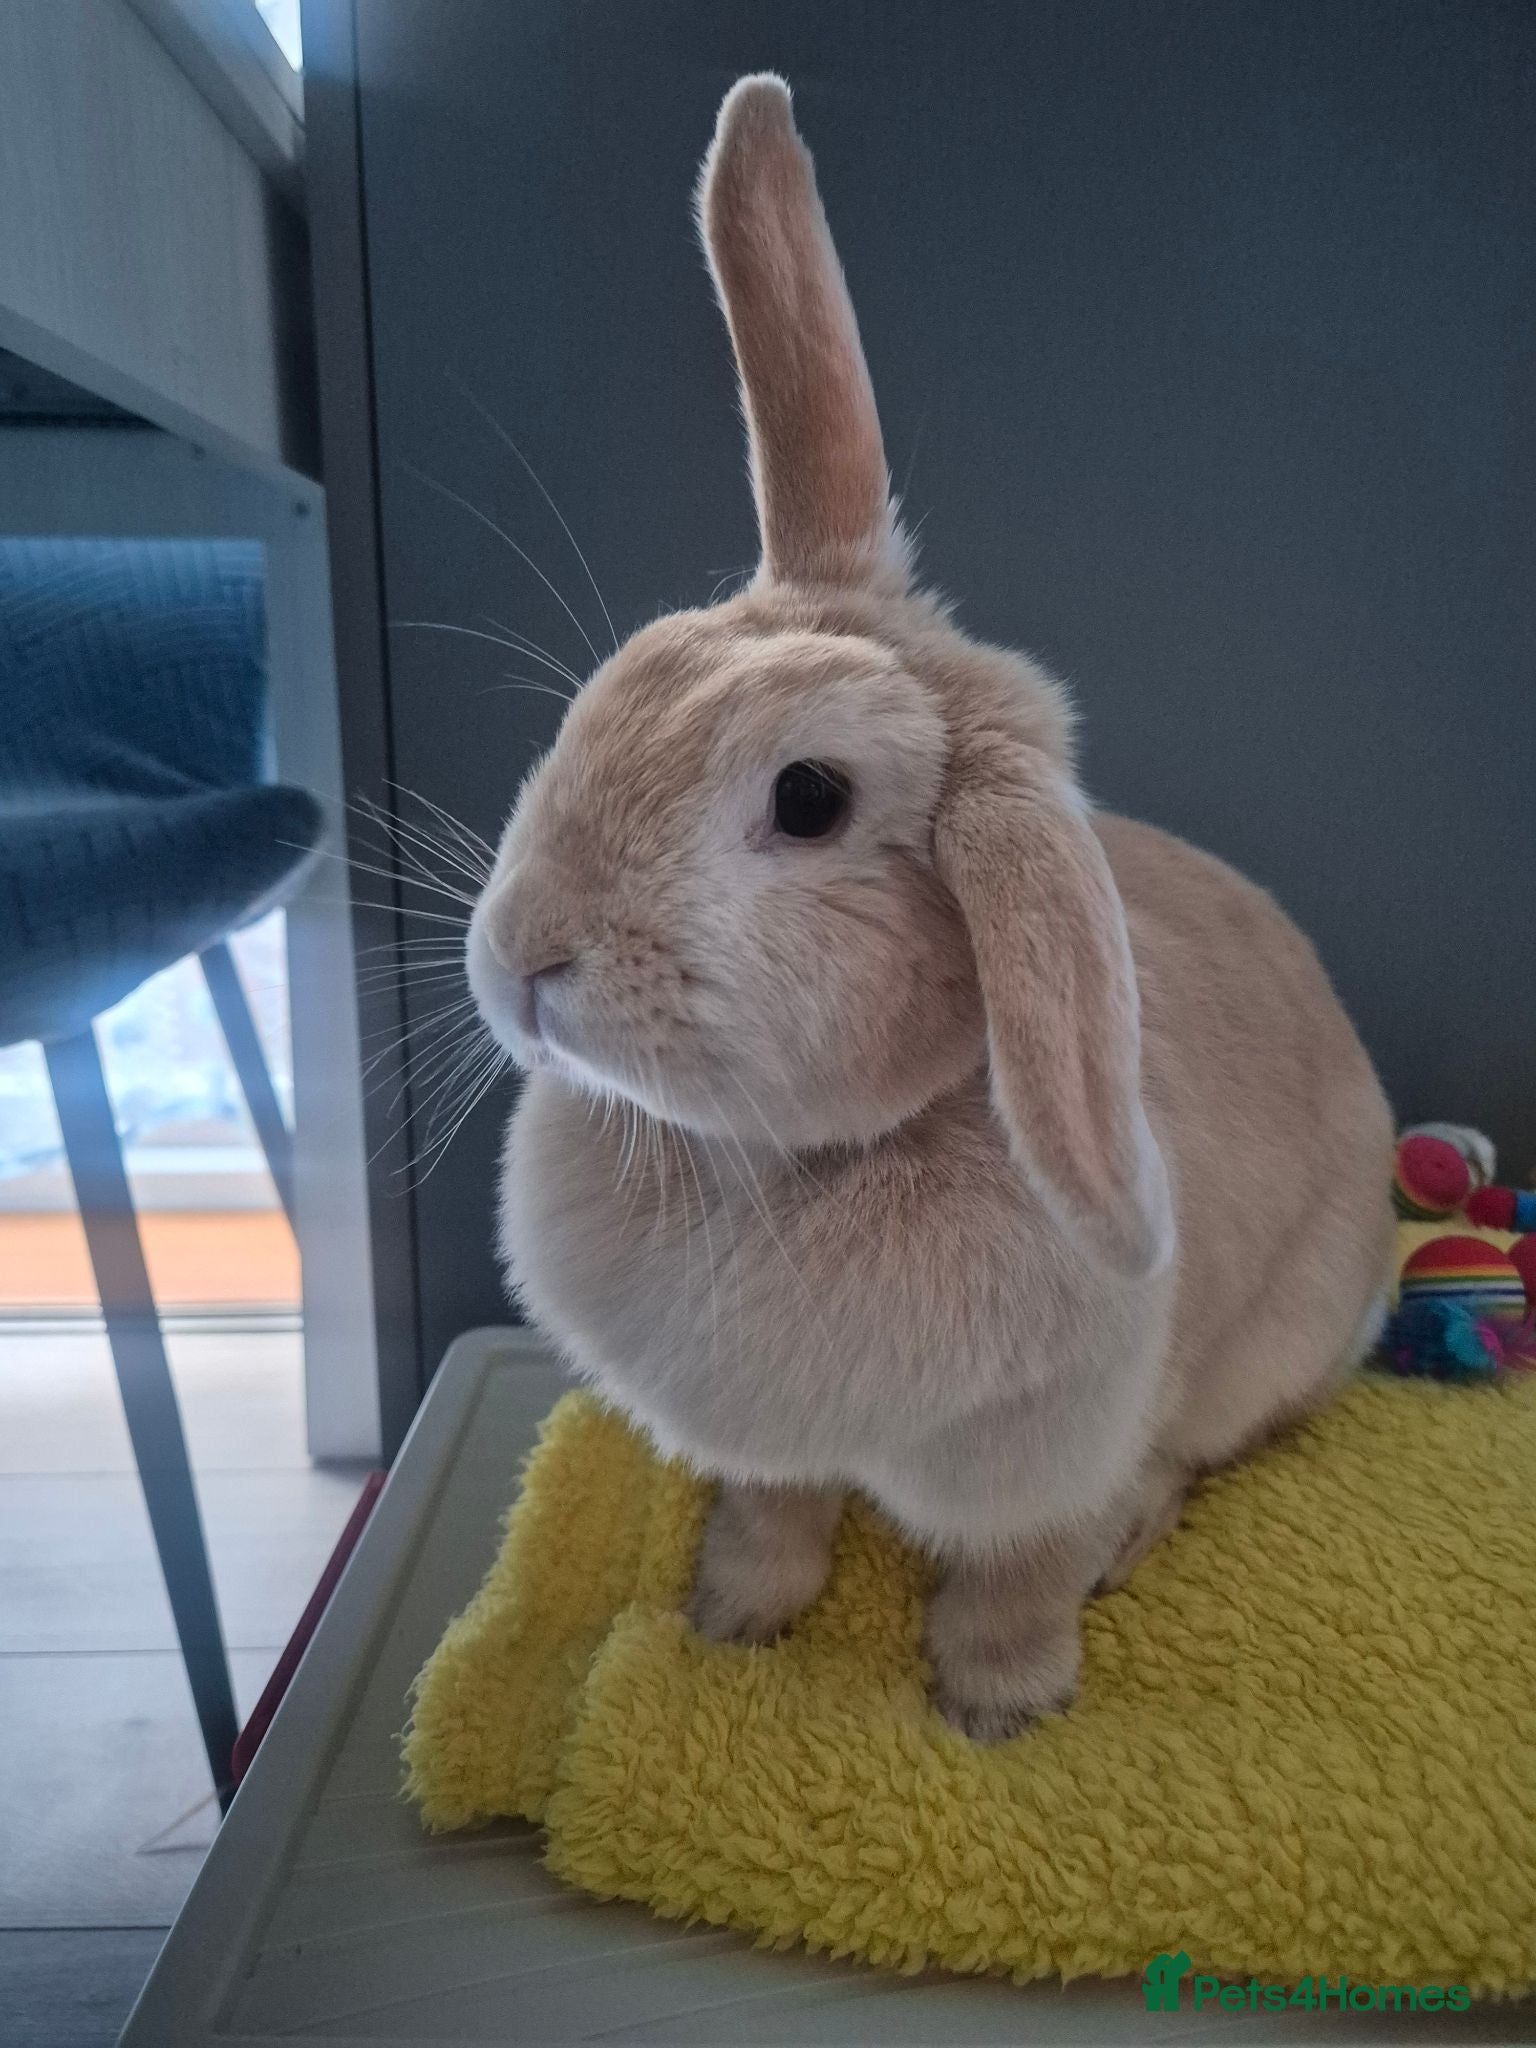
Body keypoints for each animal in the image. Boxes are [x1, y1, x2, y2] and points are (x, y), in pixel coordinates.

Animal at [466, 75, 1396, 1741]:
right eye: (625, 679)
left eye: (810, 800)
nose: (522, 960)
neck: (776, 1163)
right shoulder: (768, 1448)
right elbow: (776, 1516)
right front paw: (732, 1622)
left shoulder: (1052, 1451)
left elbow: (1021, 1574)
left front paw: (996, 1711)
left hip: (1276, 1351)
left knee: (1185, 1467)